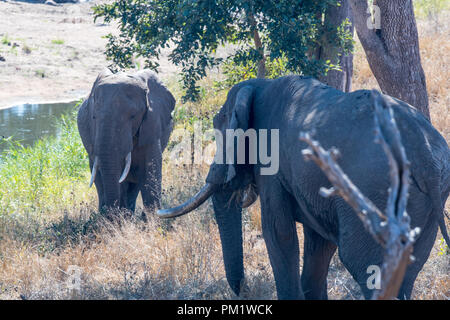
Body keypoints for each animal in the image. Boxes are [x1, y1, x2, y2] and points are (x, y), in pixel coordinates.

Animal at [157, 75, 450, 300]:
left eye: (218, 131)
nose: (246, 290)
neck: (259, 86)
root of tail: (423, 152)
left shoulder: (272, 163)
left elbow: (279, 233)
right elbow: (318, 244)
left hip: (374, 189)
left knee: (363, 264)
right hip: (428, 198)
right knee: (408, 268)